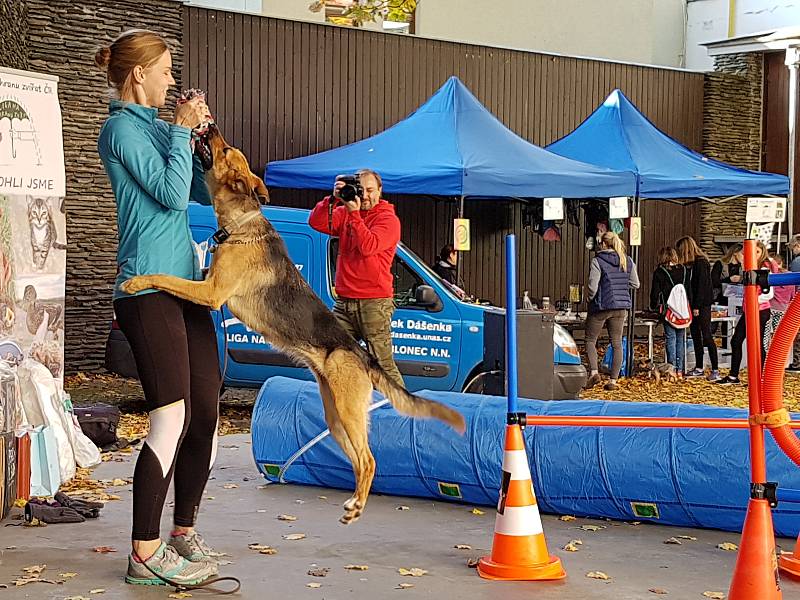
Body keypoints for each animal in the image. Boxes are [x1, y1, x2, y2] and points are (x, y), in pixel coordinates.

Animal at [122, 129, 466, 524]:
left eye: (225, 150)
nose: (209, 128)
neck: (240, 225)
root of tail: (363, 357)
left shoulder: (211, 292)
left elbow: (165, 277)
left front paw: (136, 281)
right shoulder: (207, 284)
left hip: (347, 412)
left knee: (369, 460)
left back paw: (357, 507)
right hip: (336, 418)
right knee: (360, 460)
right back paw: (353, 502)